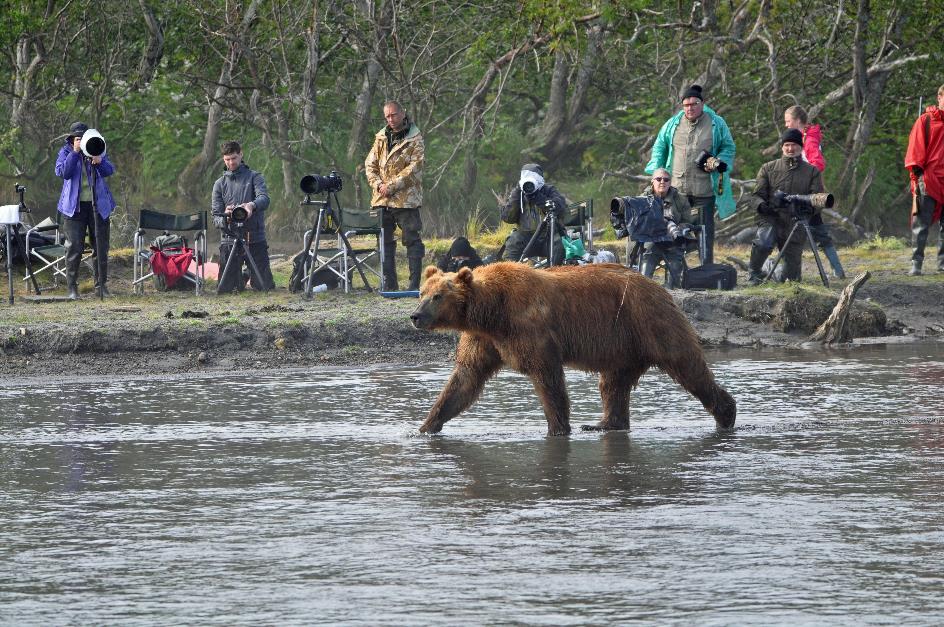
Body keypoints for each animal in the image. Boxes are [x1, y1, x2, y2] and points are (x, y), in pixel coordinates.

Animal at [412, 262, 736, 436]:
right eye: (422, 292)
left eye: (437, 296)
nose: (415, 316)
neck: (492, 313)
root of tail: (660, 286)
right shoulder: (484, 340)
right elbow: (464, 380)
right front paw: (425, 427)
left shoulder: (530, 329)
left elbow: (548, 379)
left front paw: (557, 429)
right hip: (622, 344)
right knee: (613, 384)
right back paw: (603, 424)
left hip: (649, 321)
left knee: (685, 363)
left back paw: (726, 413)